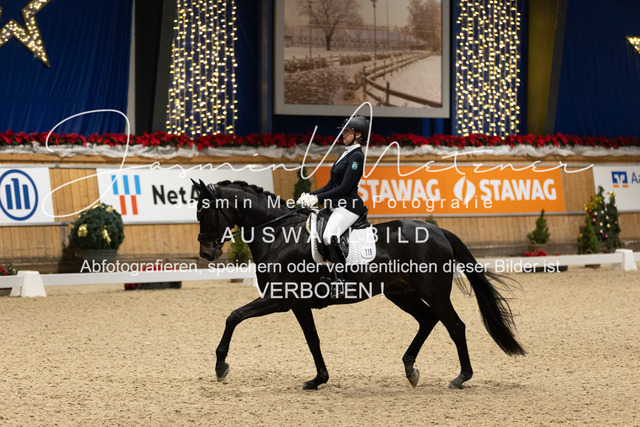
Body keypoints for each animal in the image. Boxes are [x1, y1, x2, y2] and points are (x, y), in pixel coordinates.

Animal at [193, 180, 525, 390]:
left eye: (203, 211)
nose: (206, 253)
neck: (279, 234)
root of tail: (438, 230)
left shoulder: (281, 299)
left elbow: (233, 317)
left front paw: (220, 367)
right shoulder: (298, 304)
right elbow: (312, 340)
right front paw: (318, 380)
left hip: (434, 292)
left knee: (454, 326)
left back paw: (461, 378)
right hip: (401, 293)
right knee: (427, 319)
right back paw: (410, 369)